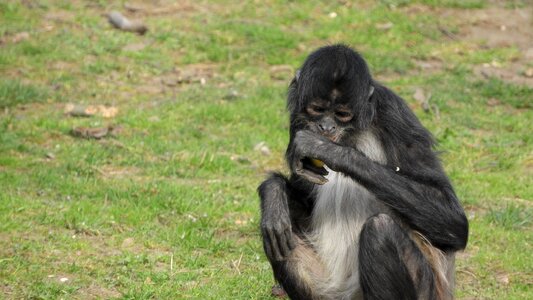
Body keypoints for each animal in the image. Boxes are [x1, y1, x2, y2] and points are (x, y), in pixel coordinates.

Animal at [256, 45, 466, 300]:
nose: (326, 127)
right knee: (275, 229)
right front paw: (273, 192)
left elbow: (455, 224)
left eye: (342, 115)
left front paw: (328, 150)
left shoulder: (393, 112)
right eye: (317, 109)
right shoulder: (298, 120)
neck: (350, 134)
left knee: (380, 228)